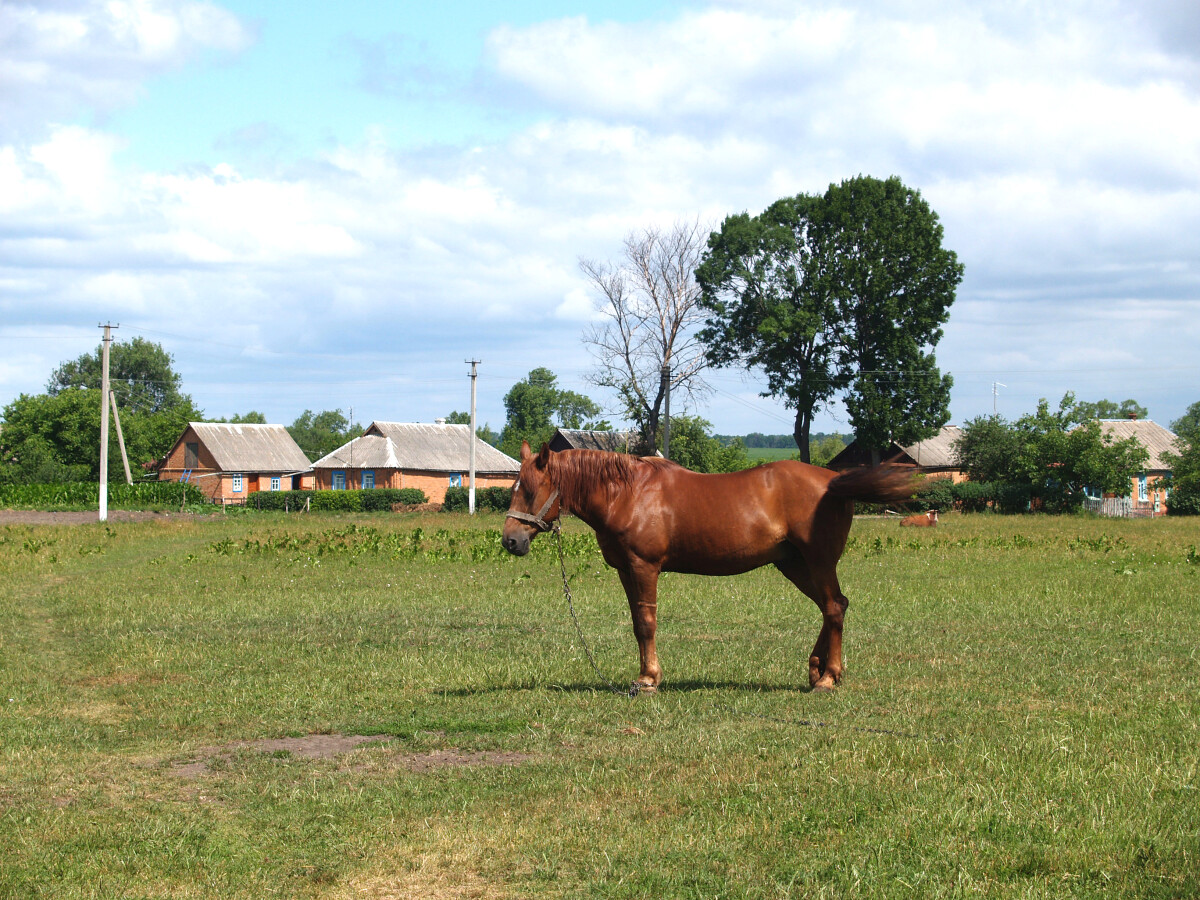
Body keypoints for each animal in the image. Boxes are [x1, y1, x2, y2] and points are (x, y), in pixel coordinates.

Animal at [501, 446, 912, 696]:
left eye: (531, 490)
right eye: (513, 488)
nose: (510, 541)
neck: (628, 493)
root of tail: (833, 481)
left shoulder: (644, 567)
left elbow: (646, 623)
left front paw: (648, 680)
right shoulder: (624, 570)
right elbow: (636, 622)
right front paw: (644, 676)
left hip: (819, 561)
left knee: (834, 608)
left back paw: (827, 677)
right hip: (793, 564)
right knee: (833, 606)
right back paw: (817, 670)